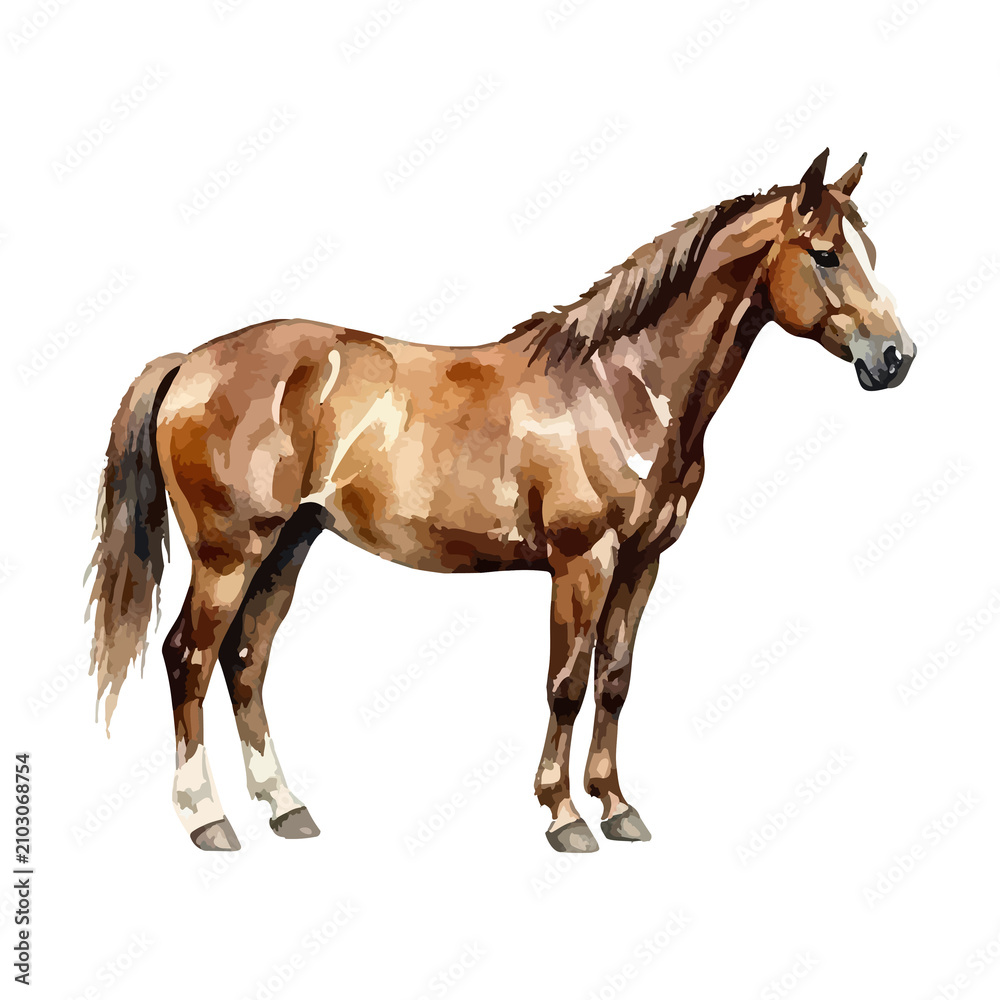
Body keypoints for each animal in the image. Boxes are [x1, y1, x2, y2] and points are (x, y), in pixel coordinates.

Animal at [87, 148, 914, 854]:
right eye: (826, 254)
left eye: (870, 252)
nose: (895, 357)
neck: (620, 387)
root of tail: (190, 361)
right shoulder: (584, 563)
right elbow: (565, 685)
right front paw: (564, 816)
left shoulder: (642, 562)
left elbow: (615, 682)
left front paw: (618, 807)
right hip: (230, 551)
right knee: (188, 658)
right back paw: (207, 819)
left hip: (290, 544)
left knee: (246, 660)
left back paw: (287, 808)